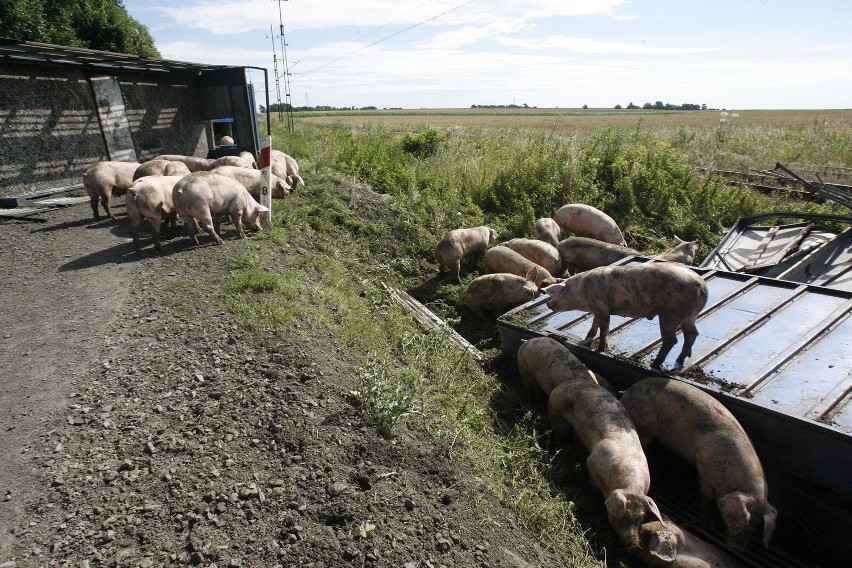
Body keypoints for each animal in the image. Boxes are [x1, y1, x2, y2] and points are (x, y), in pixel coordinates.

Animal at [544, 262, 708, 368]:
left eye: (555, 293)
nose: (548, 304)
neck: (581, 291)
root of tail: (701, 287)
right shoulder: (598, 309)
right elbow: (594, 326)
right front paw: (585, 341)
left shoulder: (602, 309)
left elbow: (604, 330)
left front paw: (600, 349)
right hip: (690, 316)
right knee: (692, 334)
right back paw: (680, 361)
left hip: (671, 314)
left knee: (671, 340)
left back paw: (654, 365)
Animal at [544, 380, 664, 552]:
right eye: (622, 515)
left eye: (641, 517)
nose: (635, 546)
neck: (629, 487)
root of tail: (566, 383)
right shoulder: (592, 462)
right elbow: (593, 485)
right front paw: (594, 497)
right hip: (556, 412)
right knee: (558, 433)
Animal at [620, 380, 780, 552]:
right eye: (745, 522)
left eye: (757, 525)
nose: (737, 549)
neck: (733, 477)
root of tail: (628, 391)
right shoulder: (705, 466)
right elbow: (707, 497)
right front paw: (707, 525)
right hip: (644, 425)